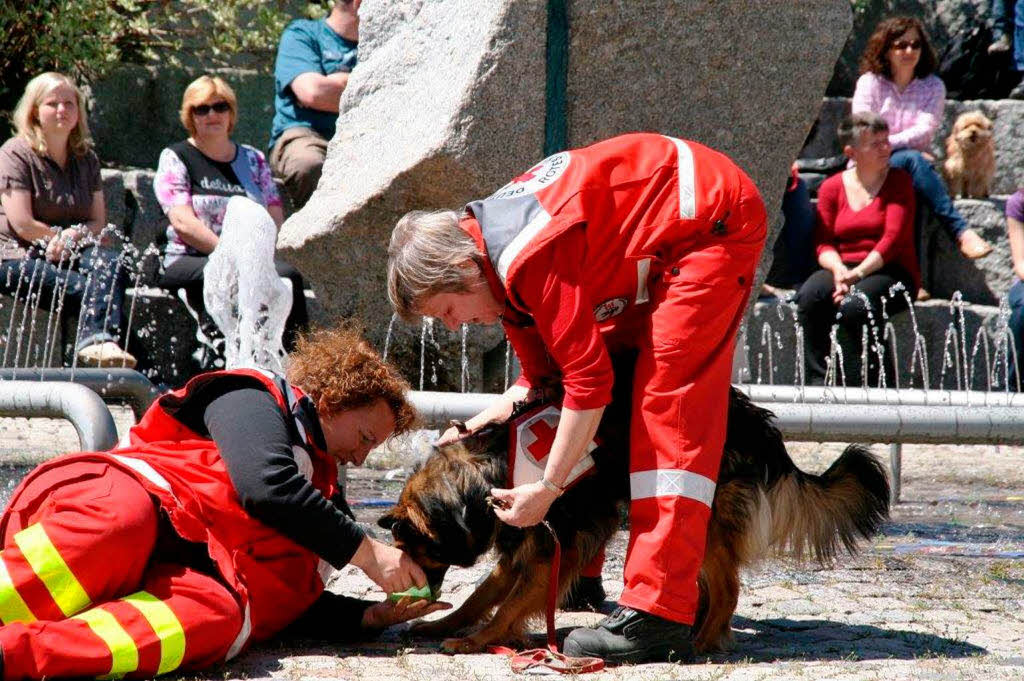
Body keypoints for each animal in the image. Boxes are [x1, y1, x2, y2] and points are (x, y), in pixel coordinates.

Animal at [380, 372, 892, 655]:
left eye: (413, 548)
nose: (421, 589)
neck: (483, 477)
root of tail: (762, 427)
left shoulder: (550, 546)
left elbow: (508, 604)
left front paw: (478, 640)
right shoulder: (521, 544)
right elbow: (481, 595)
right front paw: (444, 625)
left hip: (701, 511)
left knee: (726, 587)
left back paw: (702, 643)